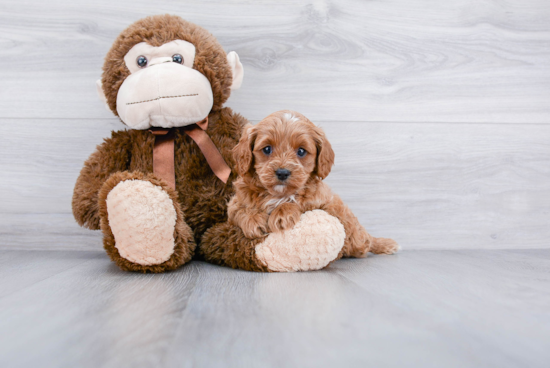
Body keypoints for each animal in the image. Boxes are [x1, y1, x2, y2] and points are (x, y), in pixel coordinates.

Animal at [229, 109, 402, 258]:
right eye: (266, 149)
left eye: (301, 151)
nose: (282, 172)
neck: (277, 194)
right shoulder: (233, 204)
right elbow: (239, 210)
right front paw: (253, 220)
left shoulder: (325, 203)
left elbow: (301, 204)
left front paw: (283, 213)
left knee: (364, 243)